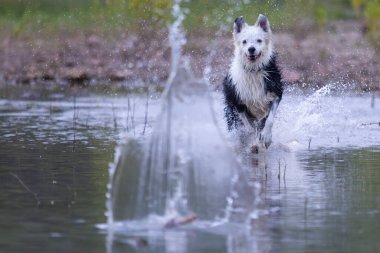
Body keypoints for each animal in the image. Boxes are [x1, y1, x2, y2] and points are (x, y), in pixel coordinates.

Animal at [223, 14, 282, 150]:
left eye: (259, 40)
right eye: (244, 41)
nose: (251, 49)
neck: (253, 70)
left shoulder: (275, 93)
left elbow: (269, 120)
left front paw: (267, 138)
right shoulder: (236, 100)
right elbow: (247, 126)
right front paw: (252, 141)